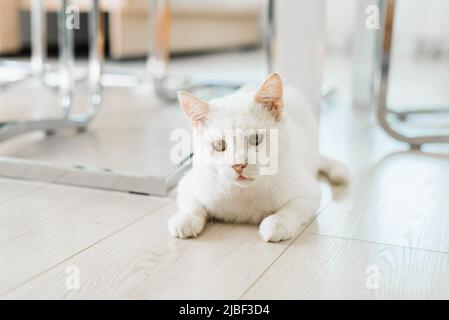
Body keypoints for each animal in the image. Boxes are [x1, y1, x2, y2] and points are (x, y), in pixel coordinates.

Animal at [168, 73, 350, 242]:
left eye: (255, 139)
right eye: (219, 145)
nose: (238, 165)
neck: (244, 193)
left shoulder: (310, 193)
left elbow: (292, 209)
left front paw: (277, 223)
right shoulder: (188, 183)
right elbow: (192, 205)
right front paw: (185, 219)